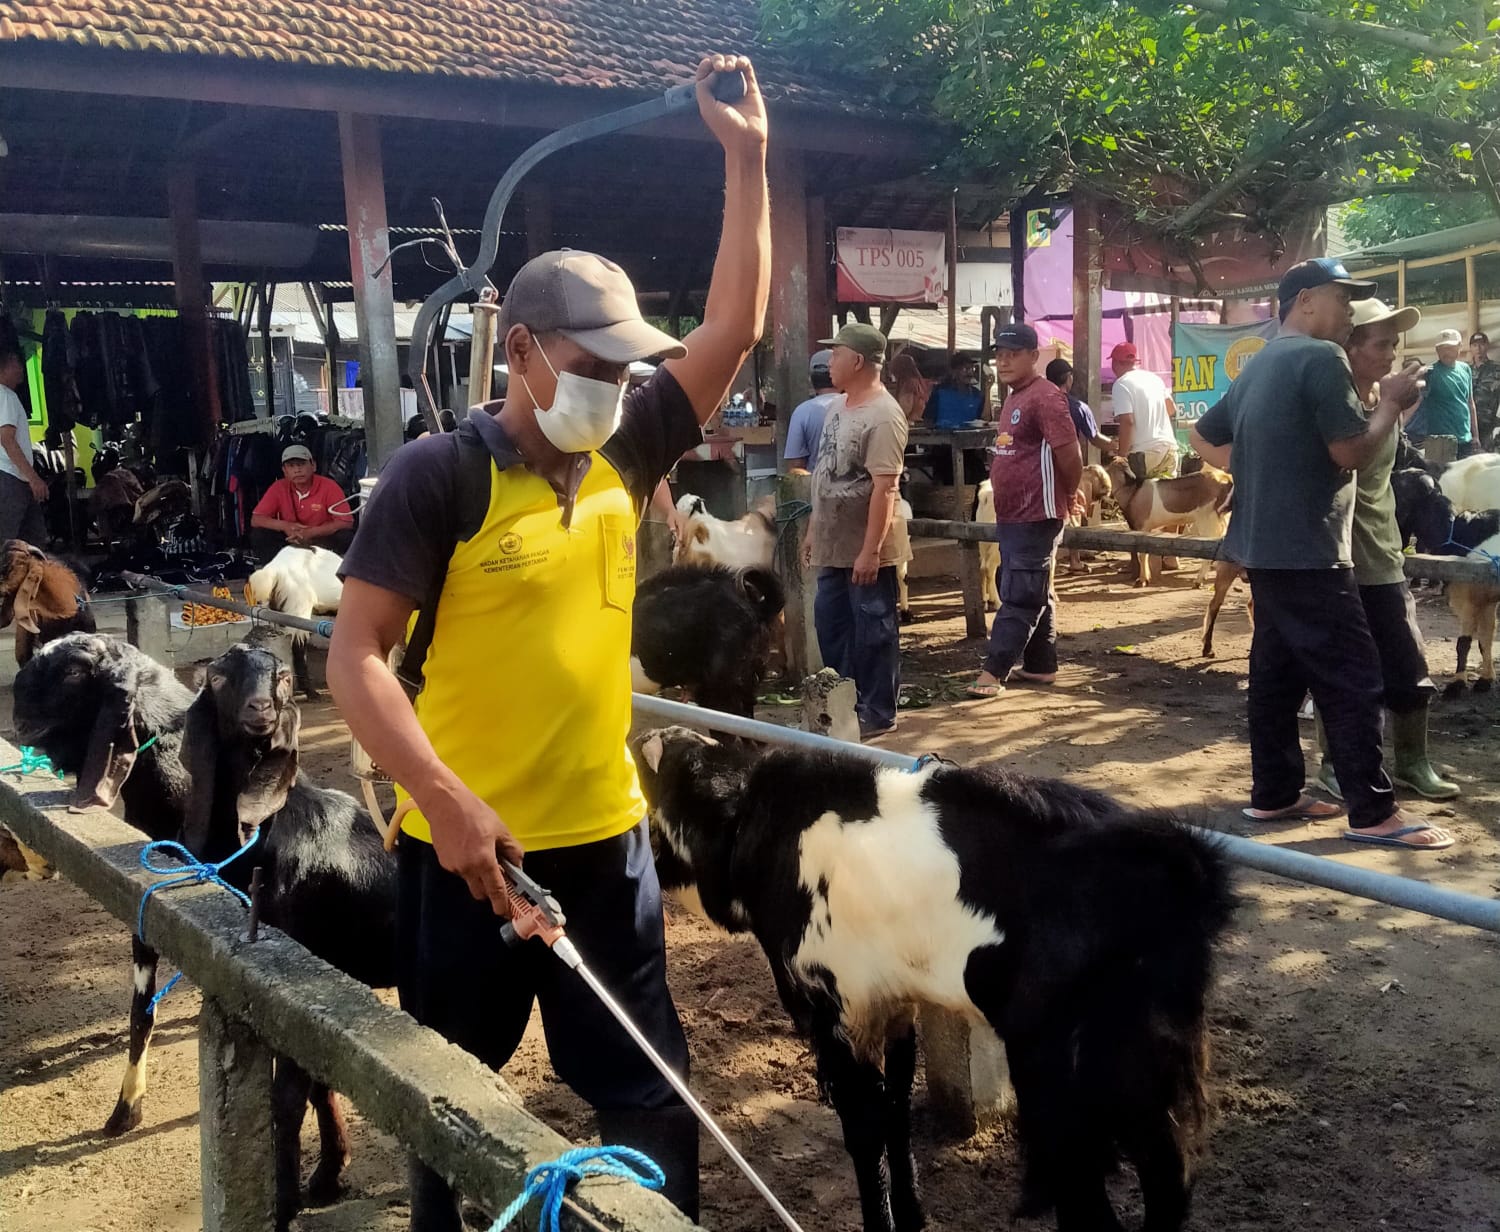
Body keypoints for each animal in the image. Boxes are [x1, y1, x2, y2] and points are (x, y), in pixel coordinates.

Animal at [633, 726, 1230, 1230]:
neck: (758, 829)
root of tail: (1181, 867)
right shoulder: (891, 1005)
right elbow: (896, 1112)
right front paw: (914, 1215)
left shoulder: (835, 1014)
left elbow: (864, 1129)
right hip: (1151, 1085)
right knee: (1169, 1185)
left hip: (1067, 1079)